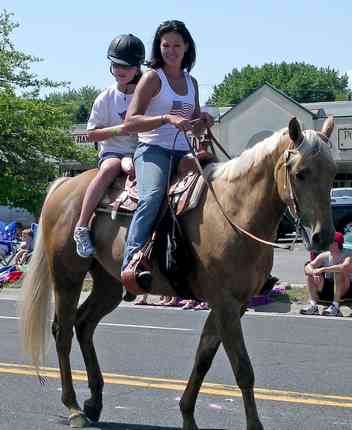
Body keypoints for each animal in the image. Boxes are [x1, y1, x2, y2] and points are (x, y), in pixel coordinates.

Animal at [21, 117, 336, 430]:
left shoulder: (234, 305)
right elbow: (243, 368)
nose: (322, 237)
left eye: (333, 173)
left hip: (108, 284)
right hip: (68, 276)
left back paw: (94, 402)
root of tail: (65, 184)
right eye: (301, 173)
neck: (234, 211)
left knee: (84, 324)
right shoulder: (226, 303)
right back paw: (74, 407)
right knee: (62, 332)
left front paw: (187, 415)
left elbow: (203, 357)